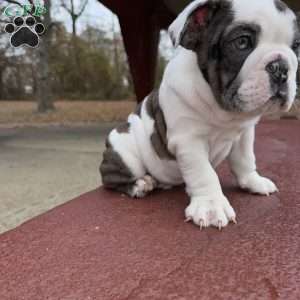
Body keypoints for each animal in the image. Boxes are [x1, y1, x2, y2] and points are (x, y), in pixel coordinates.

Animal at [101, 0, 300, 230]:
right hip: (125, 150)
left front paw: (253, 181)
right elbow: (203, 172)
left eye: (295, 46)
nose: (281, 67)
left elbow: (245, 159)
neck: (222, 108)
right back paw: (141, 183)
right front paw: (211, 206)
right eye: (242, 42)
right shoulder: (189, 141)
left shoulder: (244, 134)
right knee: (112, 179)